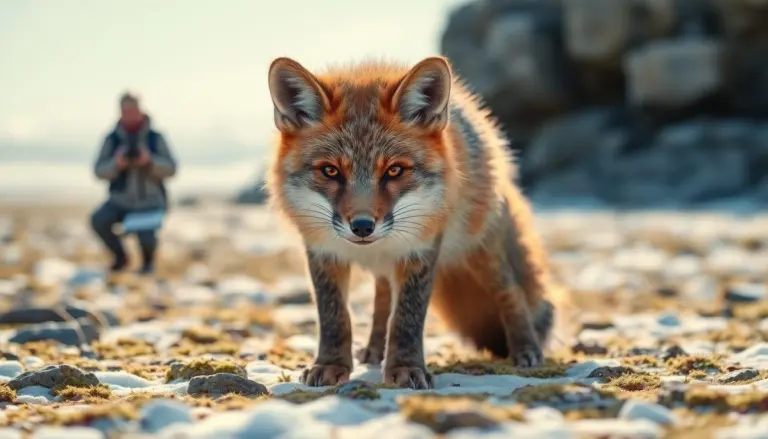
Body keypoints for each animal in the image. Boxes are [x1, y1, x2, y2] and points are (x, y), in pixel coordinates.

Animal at [265, 55, 555, 390]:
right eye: (330, 171)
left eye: (394, 171)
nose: (362, 226)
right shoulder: (323, 252)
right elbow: (335, 317)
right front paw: (331, 364)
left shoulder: (420, 250)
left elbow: (406, 318)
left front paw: (405, 368)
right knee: (382, 298)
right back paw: (375, 349)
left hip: (482, 252)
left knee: (511, 291)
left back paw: (525, 348)